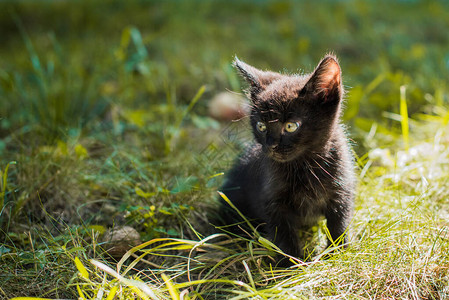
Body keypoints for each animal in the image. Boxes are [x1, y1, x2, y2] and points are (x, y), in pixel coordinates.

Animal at [219, 54, 356, 260]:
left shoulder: (341, 190)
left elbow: (339, 224)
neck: (305, 164)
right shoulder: (273, 200)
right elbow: (283, 234)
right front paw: (291, 263)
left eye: (291, 126)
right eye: (261, 126)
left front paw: (338, 254)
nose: (271, 145)